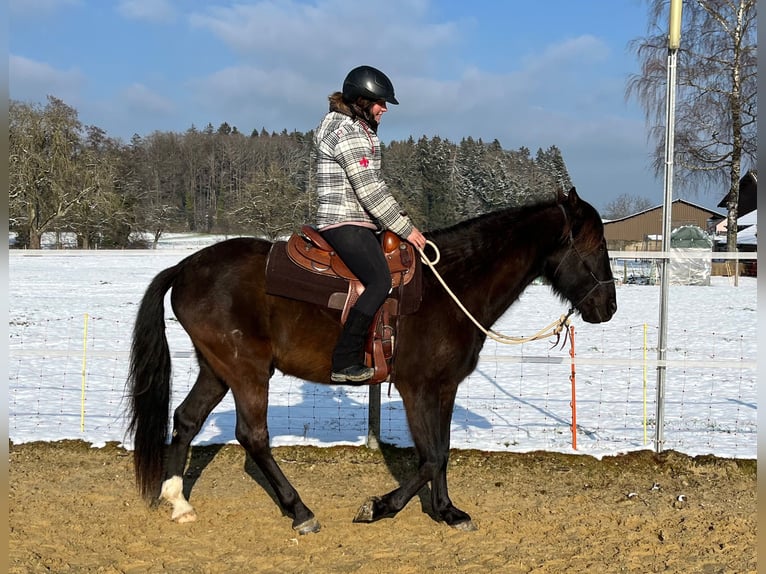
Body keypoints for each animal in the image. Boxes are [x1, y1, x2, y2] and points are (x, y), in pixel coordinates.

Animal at [126, 188, 616, 536]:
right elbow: (430, 456)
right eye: (594, 247)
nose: (608, 308)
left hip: (217, 369)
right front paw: (380, 507)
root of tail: (185, 268)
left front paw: (447, 511)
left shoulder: (444, 388)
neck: (450, 286)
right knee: (253, 437)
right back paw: (299, 510)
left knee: (186, 420)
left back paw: (179, 502)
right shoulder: (416, 387)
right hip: (246, 371)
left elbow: (443, 452)